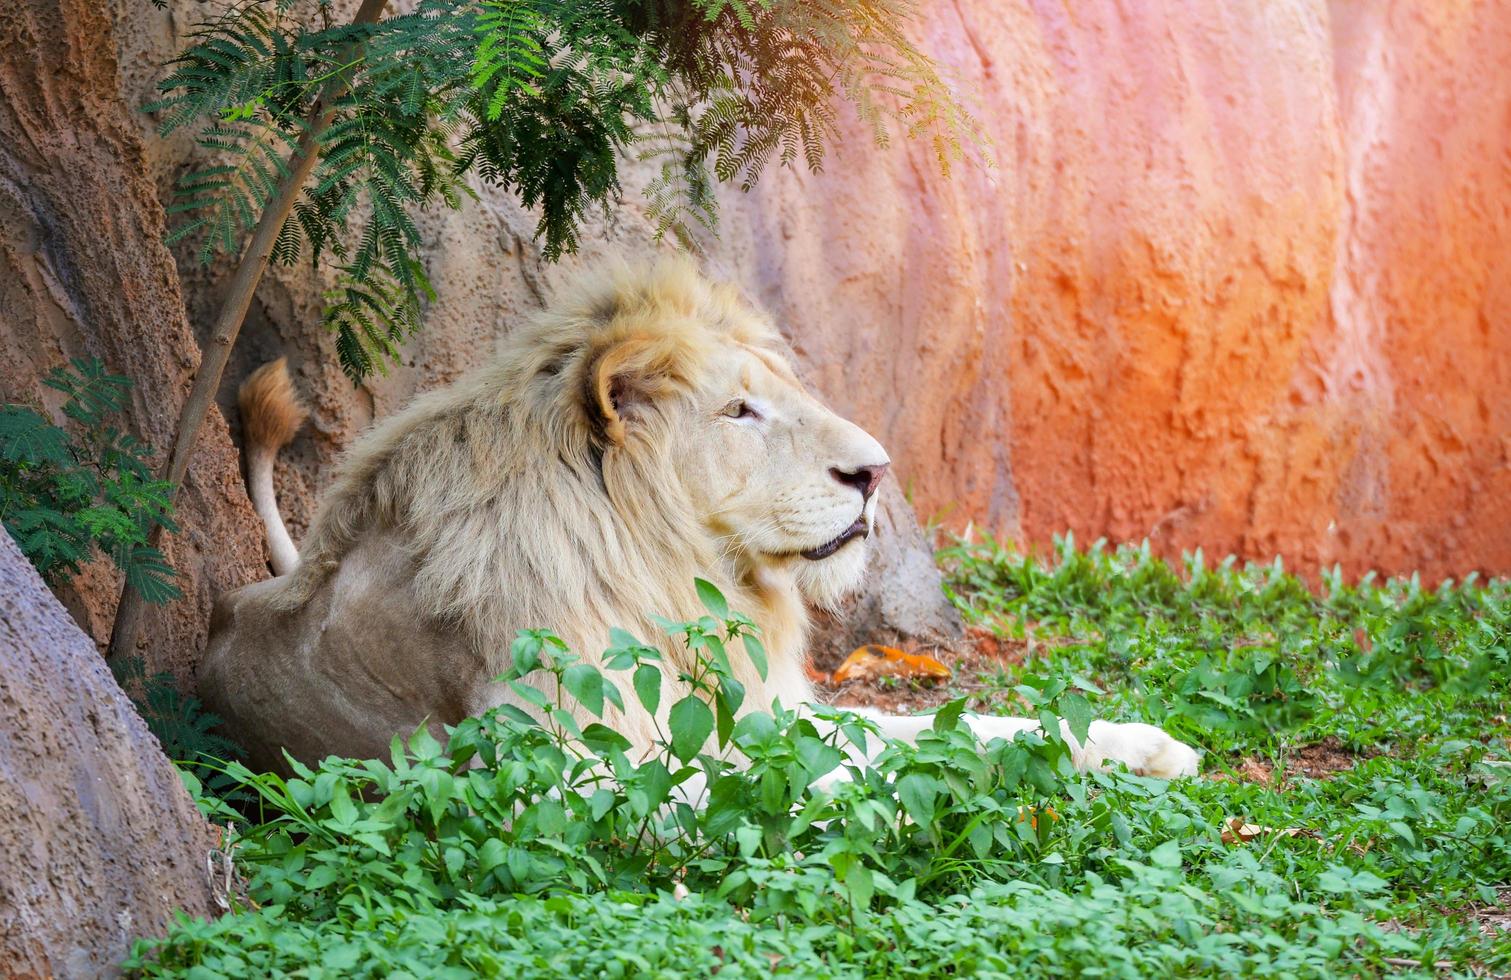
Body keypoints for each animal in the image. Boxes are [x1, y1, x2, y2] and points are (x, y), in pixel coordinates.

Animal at [200, 258, 1196, 779]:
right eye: (738, 412)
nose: (875, 473)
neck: (681, 580)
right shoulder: (570, 786)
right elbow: (833, 781)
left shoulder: (767, 705)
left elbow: (954, 730)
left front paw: (1143, 745)